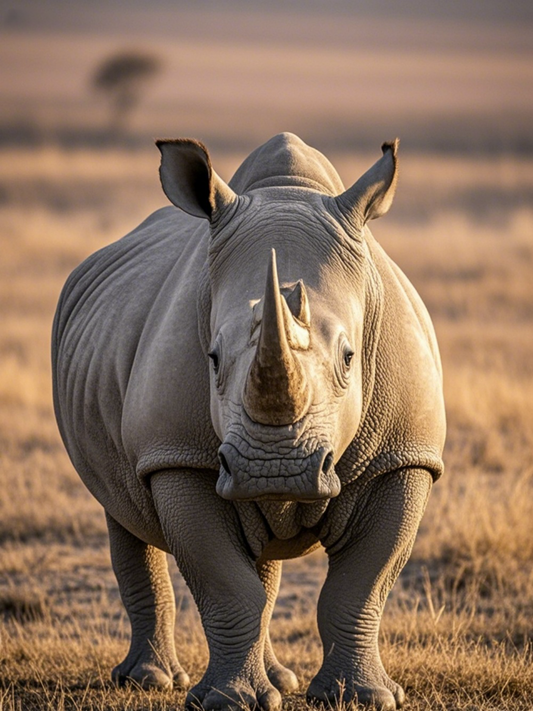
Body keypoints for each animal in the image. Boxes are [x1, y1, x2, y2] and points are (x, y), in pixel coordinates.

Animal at [52, 132, 445, 711]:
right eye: (212, 359)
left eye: (350, 358)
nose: (273, 471)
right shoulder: (177, 455)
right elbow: (226, 585)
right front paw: (226, 701)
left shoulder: (402, 457)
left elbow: (362, 584)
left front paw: (363, 697)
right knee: (120, 510)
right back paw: (151, 681)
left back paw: (281, 682)